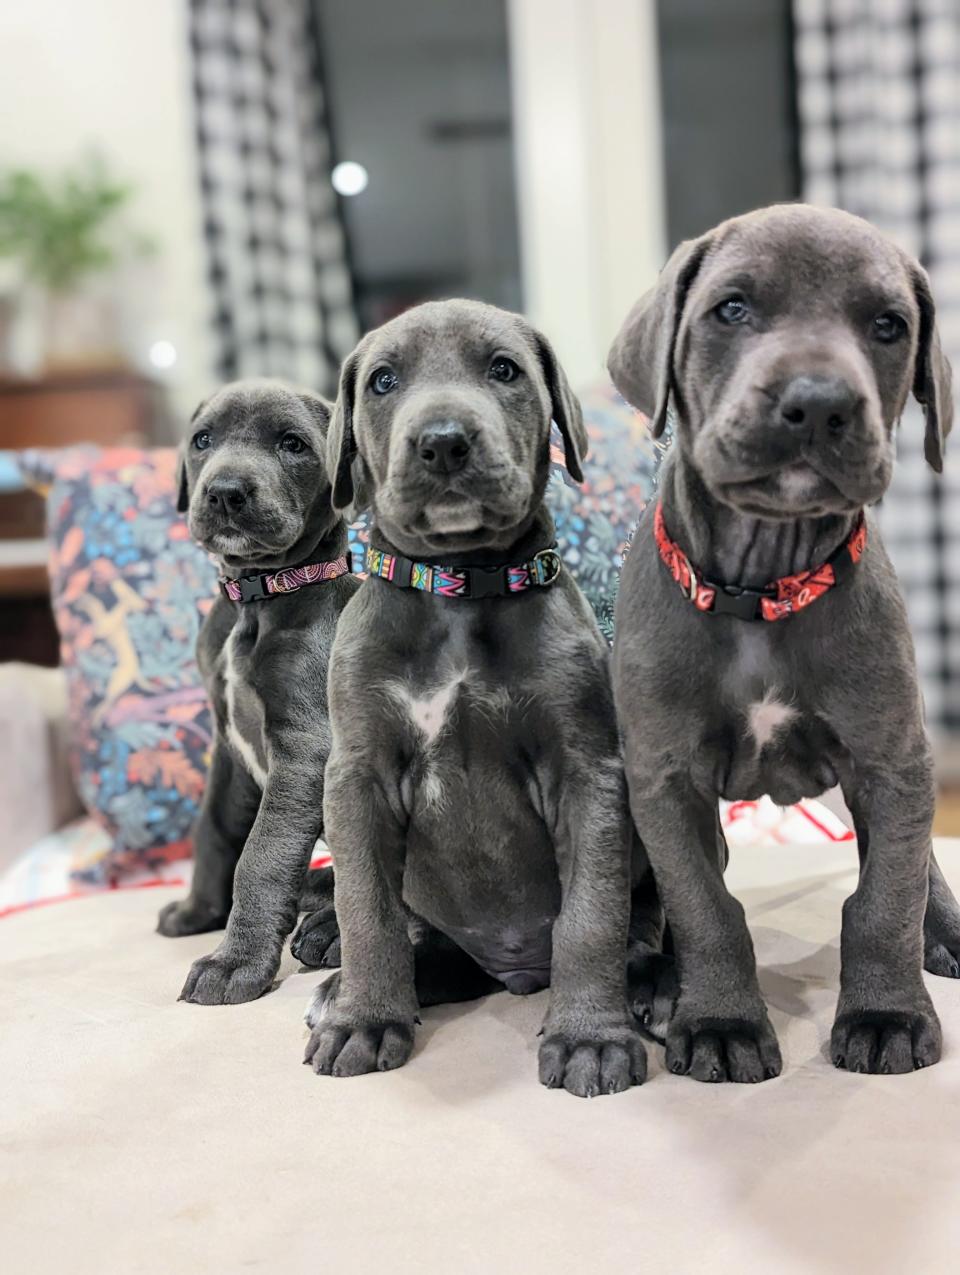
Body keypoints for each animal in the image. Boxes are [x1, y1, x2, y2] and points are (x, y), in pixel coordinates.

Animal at [158, 377, 359, 1004]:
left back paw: (329, 931)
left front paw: (234, 963)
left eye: (292, 444)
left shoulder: (305, 749)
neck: (258, 596)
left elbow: (261, 856)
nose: (225, 493)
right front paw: (199, 910)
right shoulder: (228, 748)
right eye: (203, 440)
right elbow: (215, 831)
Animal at [300, 300, 657, 1096]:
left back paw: (660, 984)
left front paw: (591, 1037)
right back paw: (351, 988)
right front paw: (365, 1019)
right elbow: (364, 906)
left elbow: (592, 914)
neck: (460, 588)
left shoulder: (588, 772)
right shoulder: (357, 777)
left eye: (504, 369)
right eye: (383, 380)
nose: (443, 442)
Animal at [606, 204, 958, 1081]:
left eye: (888, 325)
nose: (820, 402)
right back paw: (656, 980)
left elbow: (885, 897)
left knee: (918, 861)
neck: (760, 588)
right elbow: (705, 905)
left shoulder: (888, 757)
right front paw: (721, 1021)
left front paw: (885, 1013)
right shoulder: (666, 779)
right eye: (732, 308)